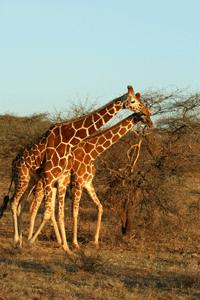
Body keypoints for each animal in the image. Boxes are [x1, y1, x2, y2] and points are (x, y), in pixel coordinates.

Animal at [28, 111, 153, 250]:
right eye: (143, 115)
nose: (151, 124)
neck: (92, 152)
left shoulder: (88, 183)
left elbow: (100, 206)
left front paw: (95, 241)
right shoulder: (78, 183)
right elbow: (75, 212)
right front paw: (75, 243)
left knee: (46, 209)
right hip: (43, 184)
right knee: (34, 207)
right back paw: (30, 239)